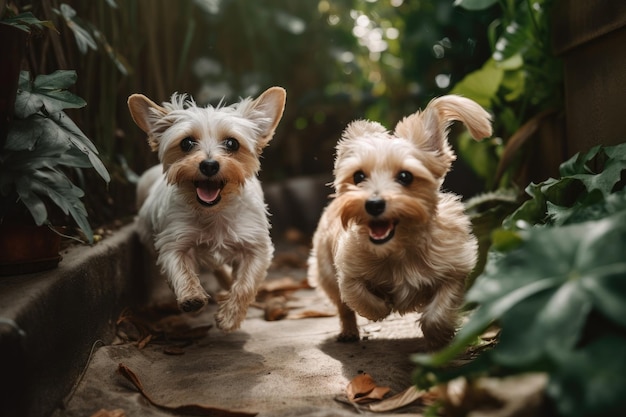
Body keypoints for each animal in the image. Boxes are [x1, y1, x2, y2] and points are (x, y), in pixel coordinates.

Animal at [308, 94, 492, 348]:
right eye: (358, 176)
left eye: (405, 176)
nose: (374, 204)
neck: (400, 249)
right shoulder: (348, 272)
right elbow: (361, 297)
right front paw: (383, 306)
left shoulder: (455, 269)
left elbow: (439, 309)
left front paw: (439, 336)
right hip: (325, 272)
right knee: (343, 306)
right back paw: (349, 330)